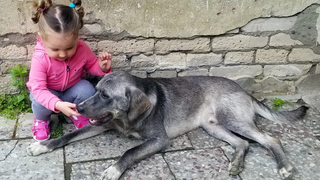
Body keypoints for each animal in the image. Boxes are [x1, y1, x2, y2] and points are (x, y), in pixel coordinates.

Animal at [26, 71, 308, 179]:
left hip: (233, 119)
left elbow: (129, 152)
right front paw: (43, 145)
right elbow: (66, 137)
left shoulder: (160, 140)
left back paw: (284, 166)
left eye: (105, 95)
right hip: (213, 126)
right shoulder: (103, 125)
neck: (128, 118)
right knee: (242, 144)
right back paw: (236, 163)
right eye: (96, 91)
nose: (79, 108)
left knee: (270, 139)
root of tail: (245, 91)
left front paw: (114, 169)